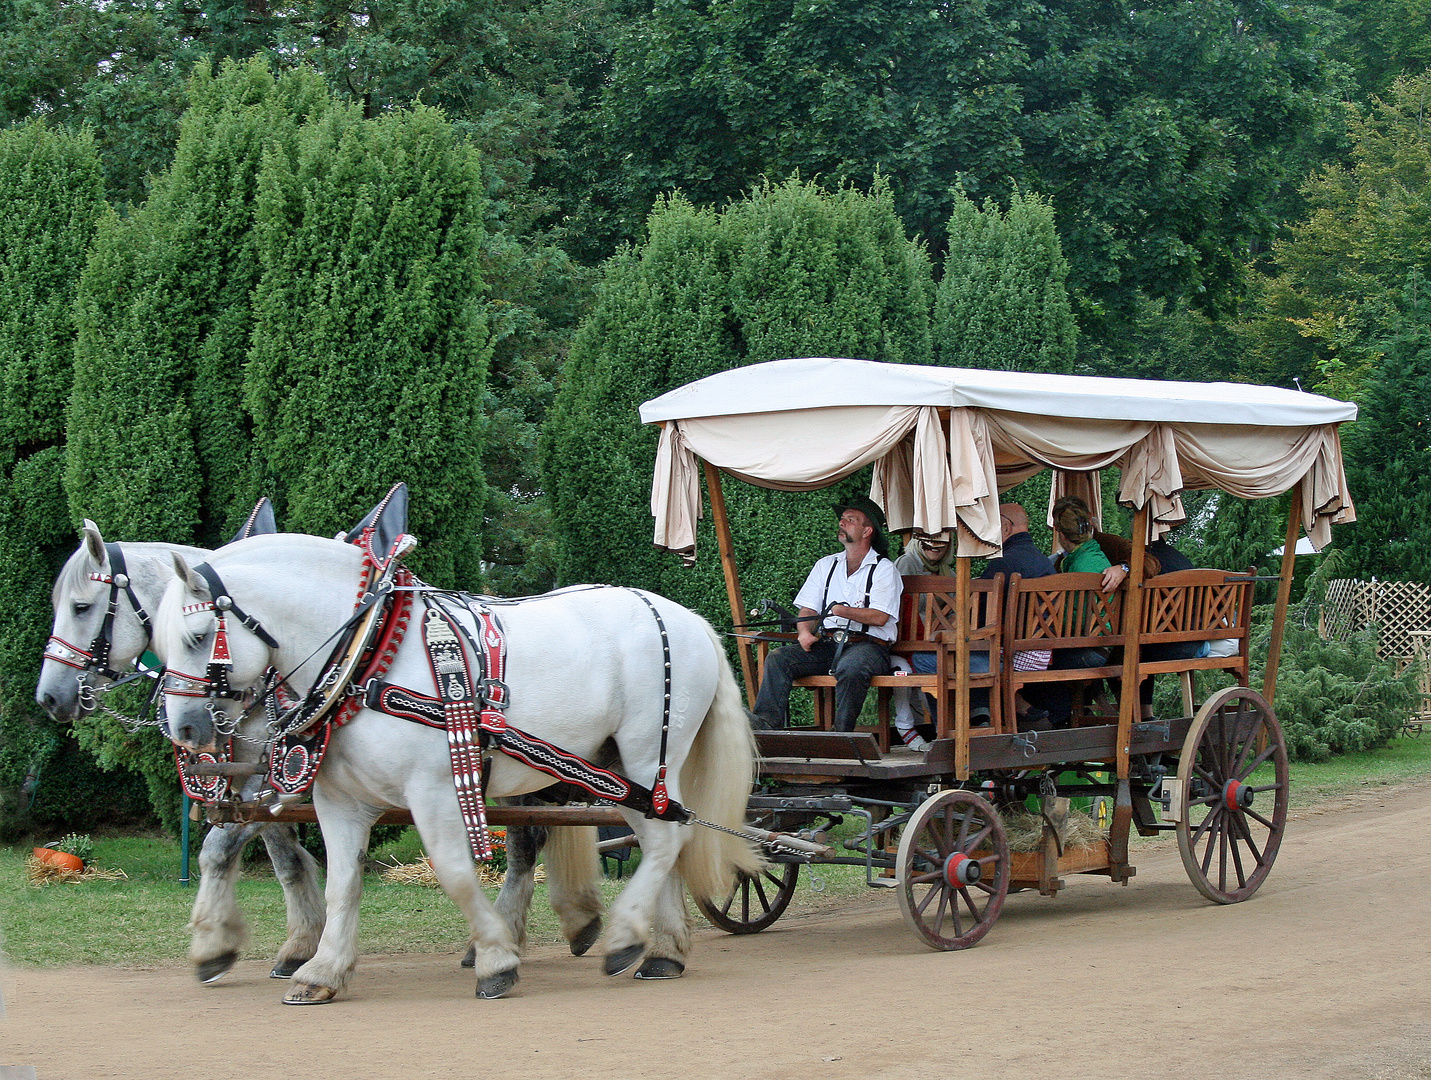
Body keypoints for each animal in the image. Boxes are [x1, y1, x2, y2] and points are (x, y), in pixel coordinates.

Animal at [153, 534, 761, 1007]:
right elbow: (342, 884)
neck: (365, 655)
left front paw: (496, 959)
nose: (184, 729)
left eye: (197, 638)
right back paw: (661, 951)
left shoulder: (435, 791)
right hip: (620, 770)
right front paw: (321, 971)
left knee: (664, 838)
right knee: (665, 833)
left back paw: (626, 938)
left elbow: (455, 874)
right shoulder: (339, 801)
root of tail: (687, 618)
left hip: (648, 751)